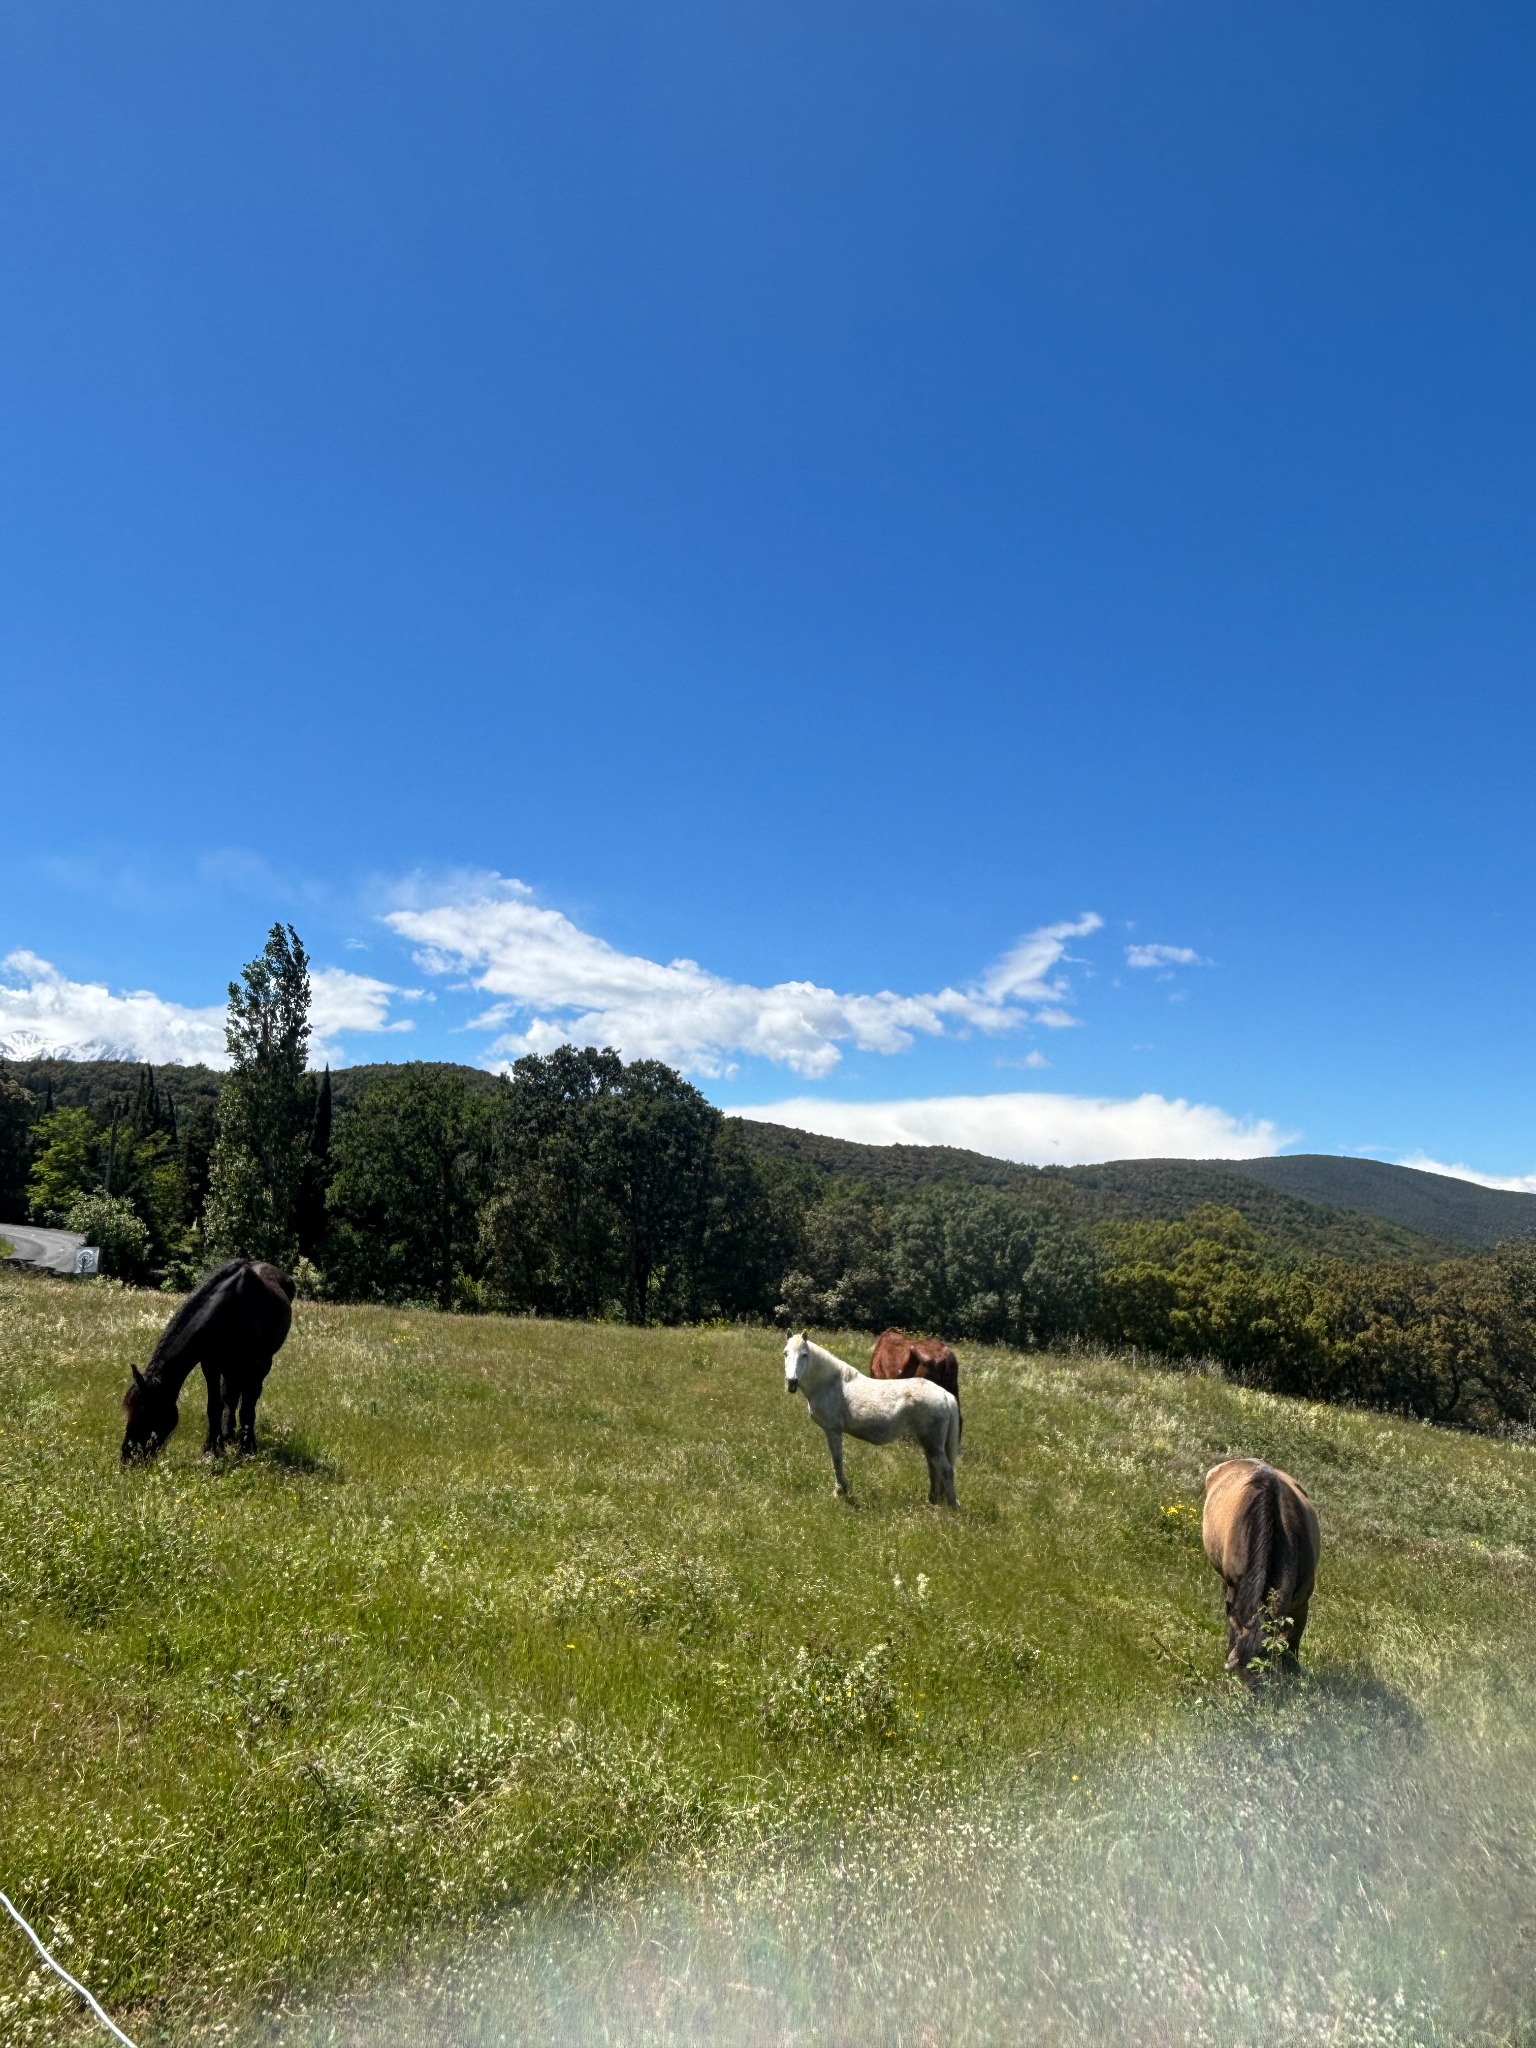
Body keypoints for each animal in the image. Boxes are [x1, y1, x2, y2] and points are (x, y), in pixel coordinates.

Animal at [121, 1259, 295, 1462]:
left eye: (148, 1414)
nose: (128, 1458)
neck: (232, 1311)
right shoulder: (211, 1365)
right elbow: (215, 1406)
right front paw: (212, 1448)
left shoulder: (255, 1366)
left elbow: (247, 1408)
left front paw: (247, 1449)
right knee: (230, 1397)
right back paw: (228, 1436)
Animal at [784, 1332, 959, 1508]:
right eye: (785, 1353)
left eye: (804, 1355)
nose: (792, 1382)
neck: (829, 1383)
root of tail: (945, 1395)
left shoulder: (833, 1429)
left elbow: (837, 1460)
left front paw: (840, 1491)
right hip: (928, 1442)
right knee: (933, 1468)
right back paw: (933, 1500)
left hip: (932, 1443)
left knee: (946, 1470)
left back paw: (952, 1506)